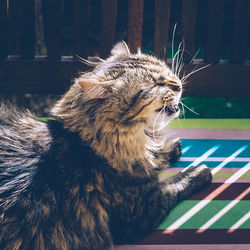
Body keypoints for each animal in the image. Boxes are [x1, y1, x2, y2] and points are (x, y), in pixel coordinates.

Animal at [0, 42, 212, 249]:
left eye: (166, 71)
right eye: (152, 86)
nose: (177, 85)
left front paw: (170, 149)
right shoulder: (141, 212)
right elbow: (175, 184)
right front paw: (198, 170)